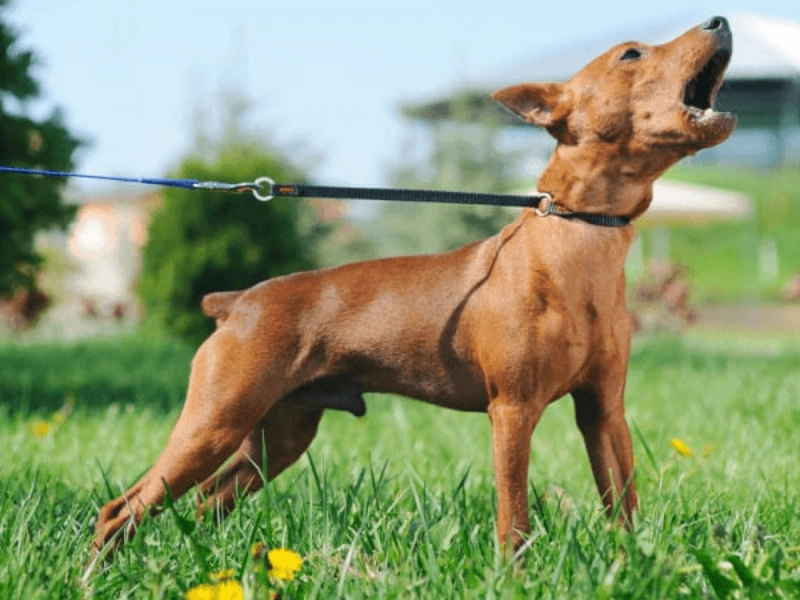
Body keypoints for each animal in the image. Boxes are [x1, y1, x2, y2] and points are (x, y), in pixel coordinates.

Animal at [94, 17, 734, 555]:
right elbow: (514, 516)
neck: (580, 234)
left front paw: (634, 565)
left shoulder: (603, 411)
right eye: (631, 53)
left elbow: (623, 505)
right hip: (215, 421)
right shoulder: (513, 410)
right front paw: (514, 574)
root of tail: (236, 303)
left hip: (276, 439)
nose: (720, 19)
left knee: (204, 505)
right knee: (122, 509)